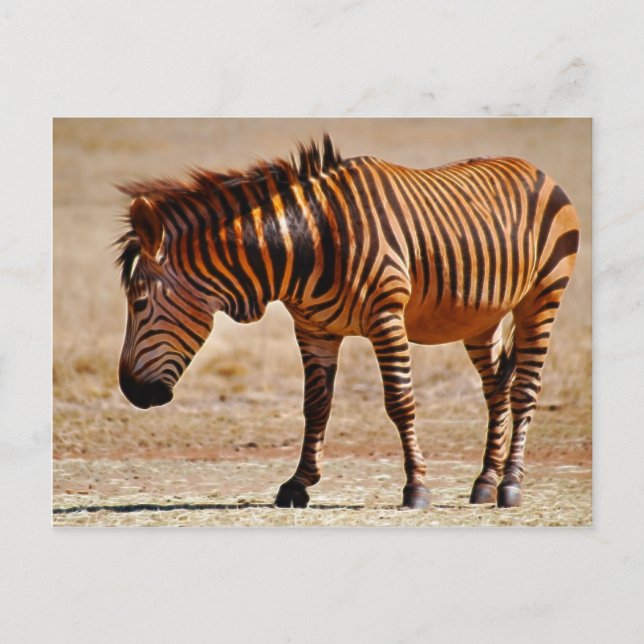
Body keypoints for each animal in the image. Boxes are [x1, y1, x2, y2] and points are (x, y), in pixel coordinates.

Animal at [116, 135, 579, 509]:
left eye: (139, 303)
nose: (130, 391)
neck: (309, 241)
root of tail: (534, 168)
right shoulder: (314, 330)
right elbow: (315, 406)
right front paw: (298, 484)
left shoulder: (386, 318)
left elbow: (400, 403)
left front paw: (416, 488)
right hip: (483, 318)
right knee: (497, 389)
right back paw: (484, 482)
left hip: (541, 298)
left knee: (524, 391)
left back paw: (510, 486)